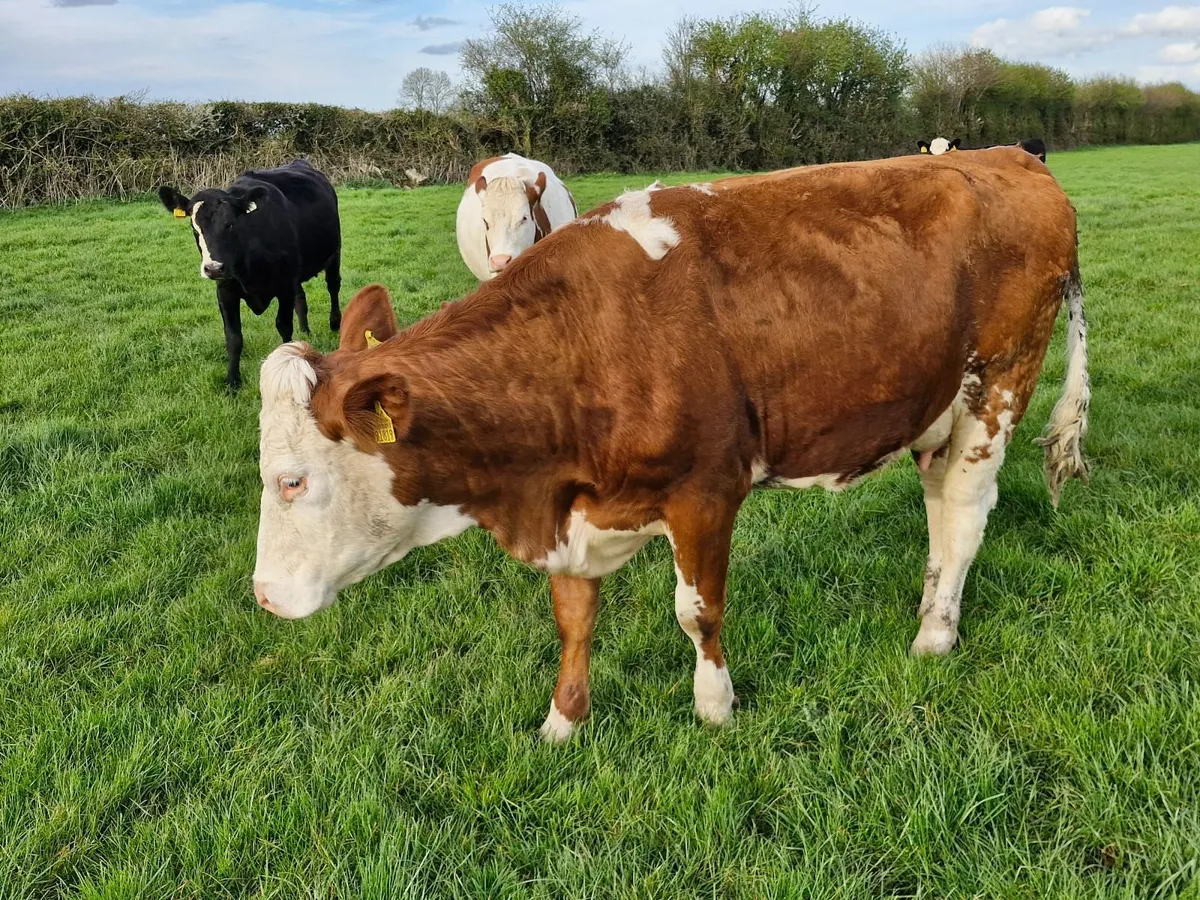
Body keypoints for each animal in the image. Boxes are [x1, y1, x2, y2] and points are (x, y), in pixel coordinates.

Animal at [158, 160, 342, 388]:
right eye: (194, 228)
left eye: (230, 224)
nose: (213, 268)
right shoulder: (226, 290)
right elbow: (233, 337)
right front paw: (232, 381)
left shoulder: (284, 285)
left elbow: (283, 325)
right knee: (301, 297)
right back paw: (305, 331)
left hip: (334, 251)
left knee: (333, 286)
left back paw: (335, 323)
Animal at [252, 148, 1090, 742]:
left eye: (292, 480)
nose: (262, 596)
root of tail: (1012, 157)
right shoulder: (571, 505)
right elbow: (573, 616)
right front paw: (562, 722)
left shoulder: (706, 491)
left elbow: (699, 612)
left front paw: (715, 707)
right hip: (934, 409)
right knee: (938, 507)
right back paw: (928, 604)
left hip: (998, 387)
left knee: (964, 512)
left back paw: (935, 634)